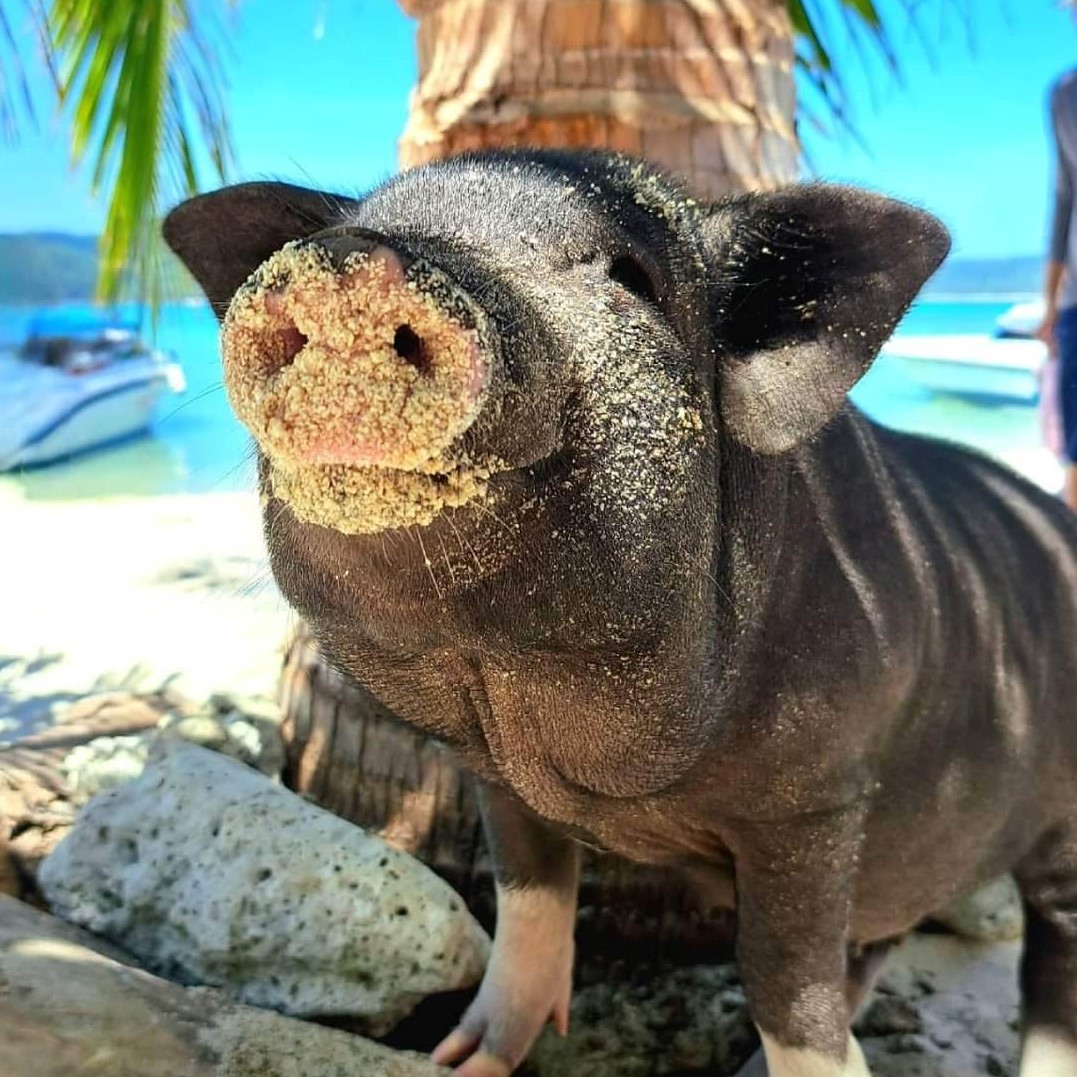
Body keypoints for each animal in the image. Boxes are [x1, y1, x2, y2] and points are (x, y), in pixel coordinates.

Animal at [164, 150, 1077, 1077]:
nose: (349, 261)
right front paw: (460, 1060)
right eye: (363, 224)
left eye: (628, 276)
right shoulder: (492, 774)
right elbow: (526, 889)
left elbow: (783, 983)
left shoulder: (819, 792)